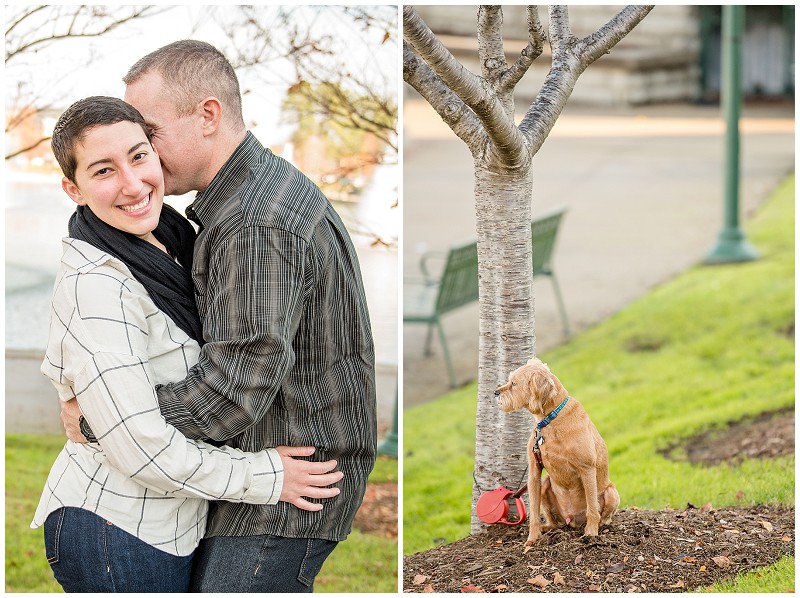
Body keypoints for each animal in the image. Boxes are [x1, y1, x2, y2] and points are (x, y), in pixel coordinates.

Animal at [494, 358, 620, 548]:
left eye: (514, 383)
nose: (495, 392)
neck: (550, 421)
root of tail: (573, 520)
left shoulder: (587, 468)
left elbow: (592, 508)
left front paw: (591, 534)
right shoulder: (534, 473)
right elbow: (534, 512)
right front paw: (532, 538)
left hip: (611, 492)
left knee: (603, 515)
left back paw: (598, 526)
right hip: (546, 483)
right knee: (554, 521)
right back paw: (547, 528)